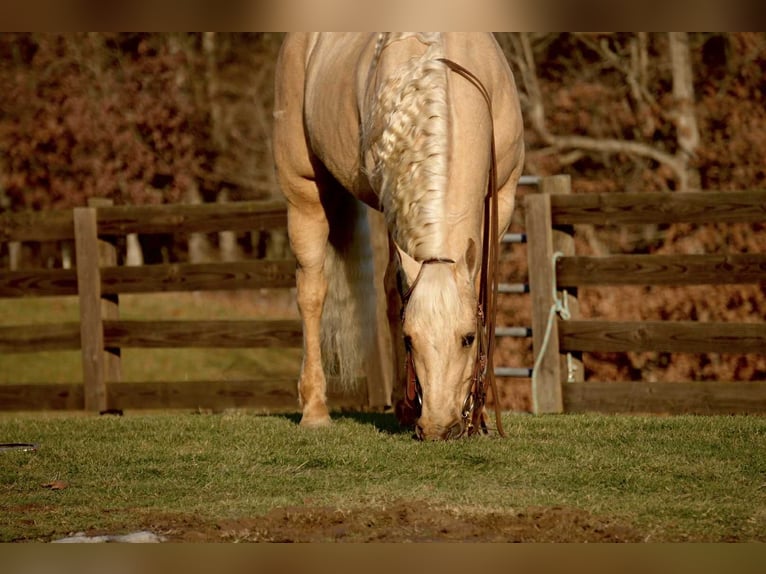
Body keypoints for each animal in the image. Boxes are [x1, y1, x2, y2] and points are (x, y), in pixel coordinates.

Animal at [272, 33, 524, 440]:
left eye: (468, 337)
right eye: (410, 340)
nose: (438, 427)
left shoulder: (502, 198)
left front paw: (481, 415)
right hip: (303, 191)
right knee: (313, 293)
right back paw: (316, 410)